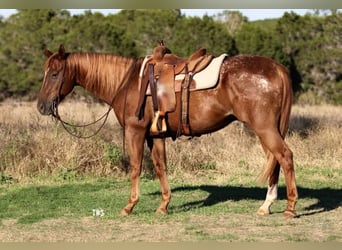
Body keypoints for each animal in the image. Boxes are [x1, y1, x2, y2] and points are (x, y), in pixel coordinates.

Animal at [38, 44, 298, 217]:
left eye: (54, 74)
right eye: (45, 72)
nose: (41, 106)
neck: (127, 82)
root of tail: (277, 68)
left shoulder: (135, 132)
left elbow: (135, 167)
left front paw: (129, 206)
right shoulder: (156, 135)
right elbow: (160, 167)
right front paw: (163, 205)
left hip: (264, 129)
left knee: (285, 157)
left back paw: (290, 207)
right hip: (269, 130)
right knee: (275, 161)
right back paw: (266, 206)